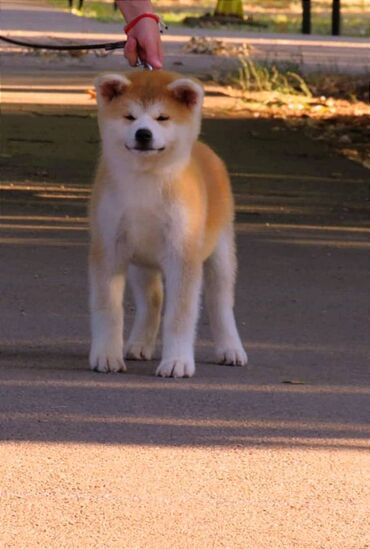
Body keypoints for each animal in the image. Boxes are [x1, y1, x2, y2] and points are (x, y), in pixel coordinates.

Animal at [88, 69, 247, 376]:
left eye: (162, 117)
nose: (143, 133)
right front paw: (106, 355)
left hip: (220, 250)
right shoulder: (109, 247)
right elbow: (108, 308)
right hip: (141, 261)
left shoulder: (183, 251)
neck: (146, 183)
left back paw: (231, 348)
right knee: (153, 299)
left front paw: (177, 361)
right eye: (130, 116)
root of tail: (205, 150)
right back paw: (139, 344)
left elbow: (180, 315)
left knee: (221, 303)